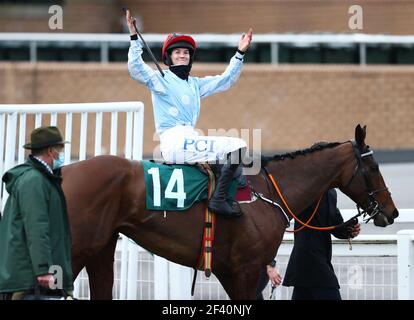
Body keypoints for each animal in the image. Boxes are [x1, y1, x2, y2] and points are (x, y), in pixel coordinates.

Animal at [64, 124, 398, 298]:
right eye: (373, 166)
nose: (392, 211)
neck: (269, 192)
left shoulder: (229, 270)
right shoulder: (246, 269)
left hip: (101, 249)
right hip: (78, 250)